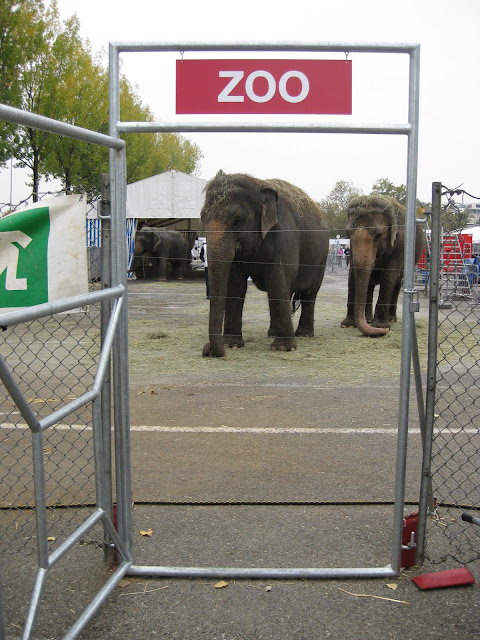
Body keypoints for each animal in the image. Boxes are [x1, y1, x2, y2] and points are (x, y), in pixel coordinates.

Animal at [200, 172, 330, 358]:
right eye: (202, 218)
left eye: (237, 221)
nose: (208, 350)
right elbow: (235, 285)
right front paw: (231, 345)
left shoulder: (285, 235)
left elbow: (277, 278)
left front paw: (283, 348)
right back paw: (273, 333)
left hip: (321, 258)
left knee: (309, 293)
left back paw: (303, 334)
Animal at [342, 194, 424, 338]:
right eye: (348, 234)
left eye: (379, 235)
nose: (384, 333)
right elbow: (352, 275)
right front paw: (348, 325)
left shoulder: (400, 245)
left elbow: (388, 276)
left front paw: (380, 326)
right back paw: (368, 319)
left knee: (397, 284)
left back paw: (390, 319)